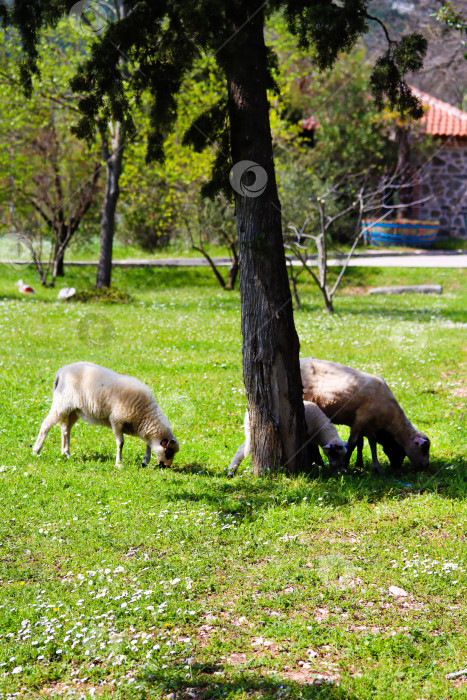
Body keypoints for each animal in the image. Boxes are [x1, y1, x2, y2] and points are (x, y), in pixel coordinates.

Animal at [33, 364, 179, 468]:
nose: (167, 467)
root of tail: (61, 371)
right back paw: (36, 450)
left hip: (74, 410)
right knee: (46, 424)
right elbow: (121, 443)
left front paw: (145, 461)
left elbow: (148, 444)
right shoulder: (117, 421)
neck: (146, 415)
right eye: (168, 452)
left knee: (65, 430)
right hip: (62, 403)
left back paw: (66, 453)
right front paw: (119, 463)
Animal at [300, 358, 432, 474]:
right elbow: (352, 443)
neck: (390, 414)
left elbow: (370, 444)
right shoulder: (360, 420)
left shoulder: (369, 425)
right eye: (424, 450)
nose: (426, 466)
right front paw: (346, 464)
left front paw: (375, 467)